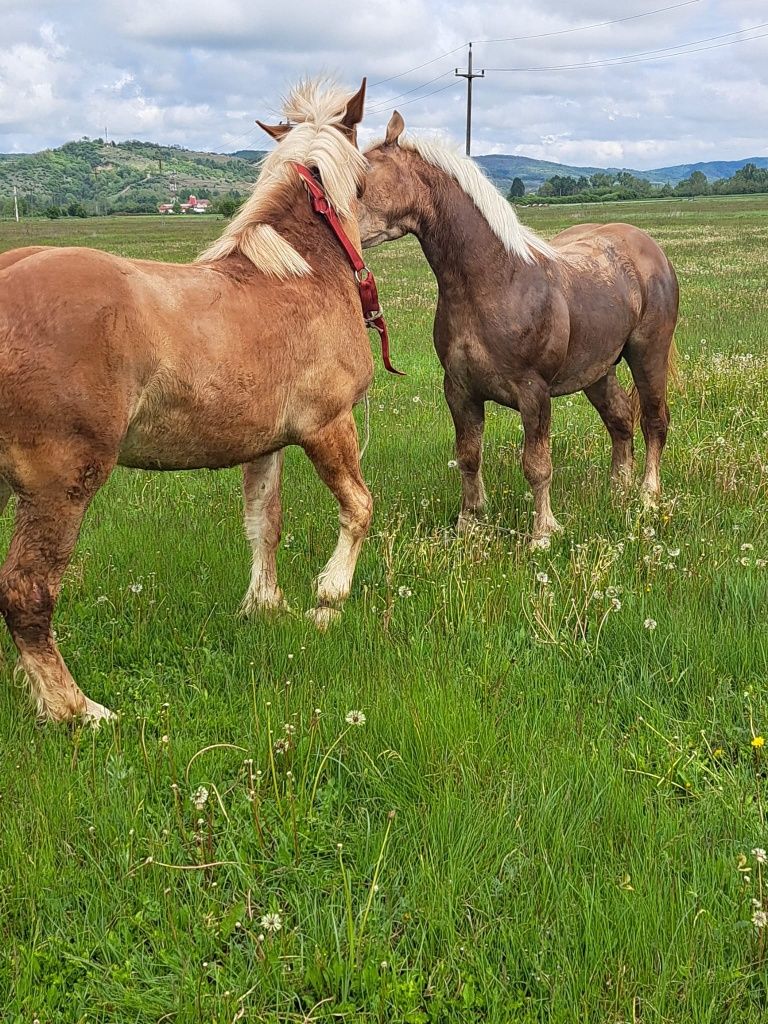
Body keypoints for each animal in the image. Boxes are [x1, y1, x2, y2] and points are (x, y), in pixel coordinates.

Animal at [0, 77, 376, 720]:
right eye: (366, 179)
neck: (302, 273)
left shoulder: (266, 445)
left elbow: (264, 523)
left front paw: (265, 606)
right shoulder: (329, 426)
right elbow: (358, 508)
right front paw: (329, 597)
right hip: (58, 487)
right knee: (27, 592)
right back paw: (76, 710)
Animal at [354, 112, 679, 544]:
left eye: (360, 176)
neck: (497, 281)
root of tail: (649, 249)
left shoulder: (533, 393)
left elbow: (537, 465)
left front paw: (543, 533)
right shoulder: (459, 390)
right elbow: (469, 457)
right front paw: (469, 524)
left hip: (647, 354)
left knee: (654, 422)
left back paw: (646, 497)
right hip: (597, 370)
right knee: (621, 419)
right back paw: (617, 492)